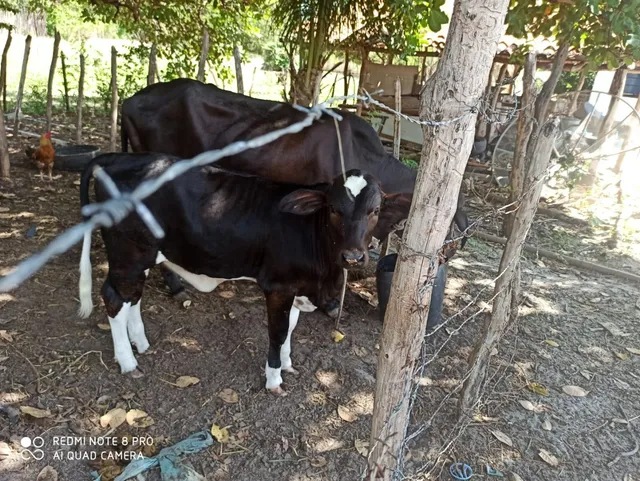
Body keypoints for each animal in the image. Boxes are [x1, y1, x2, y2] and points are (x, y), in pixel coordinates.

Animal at [77, 152, 399, 393]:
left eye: (375, 210)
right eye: (333, 208)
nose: (353, 256)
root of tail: (116, 157)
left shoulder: (296, 286)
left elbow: (291, 327)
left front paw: (288, 364)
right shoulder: (278, 285)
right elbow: (278, 331)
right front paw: (274, 379)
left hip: (142, 258)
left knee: (133, 297)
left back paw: (141, 344)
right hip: (128, 254)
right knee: (114, 298)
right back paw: (128, 362)